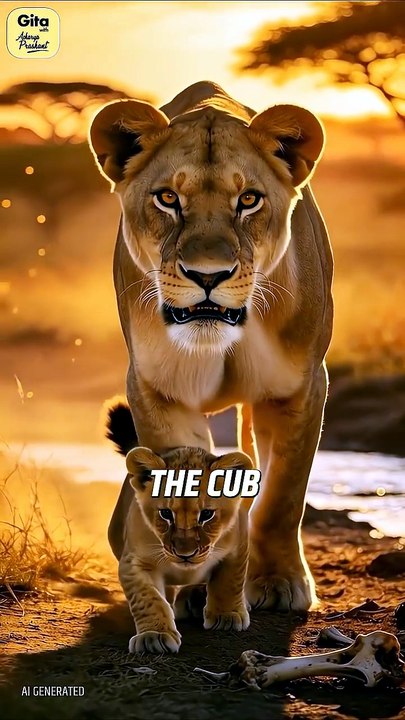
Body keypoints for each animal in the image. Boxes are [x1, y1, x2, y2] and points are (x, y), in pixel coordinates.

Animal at [89, 81, 333, 613]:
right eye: (167, 198)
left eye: (248, 200)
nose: (207, 275)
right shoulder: (158, 390)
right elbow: (182, 476)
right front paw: (193, 583)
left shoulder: (298, 387)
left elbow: (282, 495)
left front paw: (279, 582)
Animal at [106, 401, 252, 654]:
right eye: (165, 514)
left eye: (206, 514)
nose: (186, 554)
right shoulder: (134, 562)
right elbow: (147, 598)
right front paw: (154, 636)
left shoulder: (237, 547)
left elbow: (229, 581)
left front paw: (226, 615)